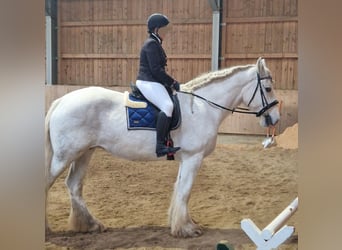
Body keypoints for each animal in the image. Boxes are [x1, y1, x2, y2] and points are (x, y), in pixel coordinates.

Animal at [45, 57, 280, 237]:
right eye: (268, 88)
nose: (275, 119)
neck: (203, 107)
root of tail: (60, 102)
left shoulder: (186, 159)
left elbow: (179, 190)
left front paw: (179, 223)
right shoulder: (194, 158)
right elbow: (185, 191)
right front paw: (187, 229)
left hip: (84, 153)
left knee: (74, 185)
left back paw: (91, 225)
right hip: (65, 156)